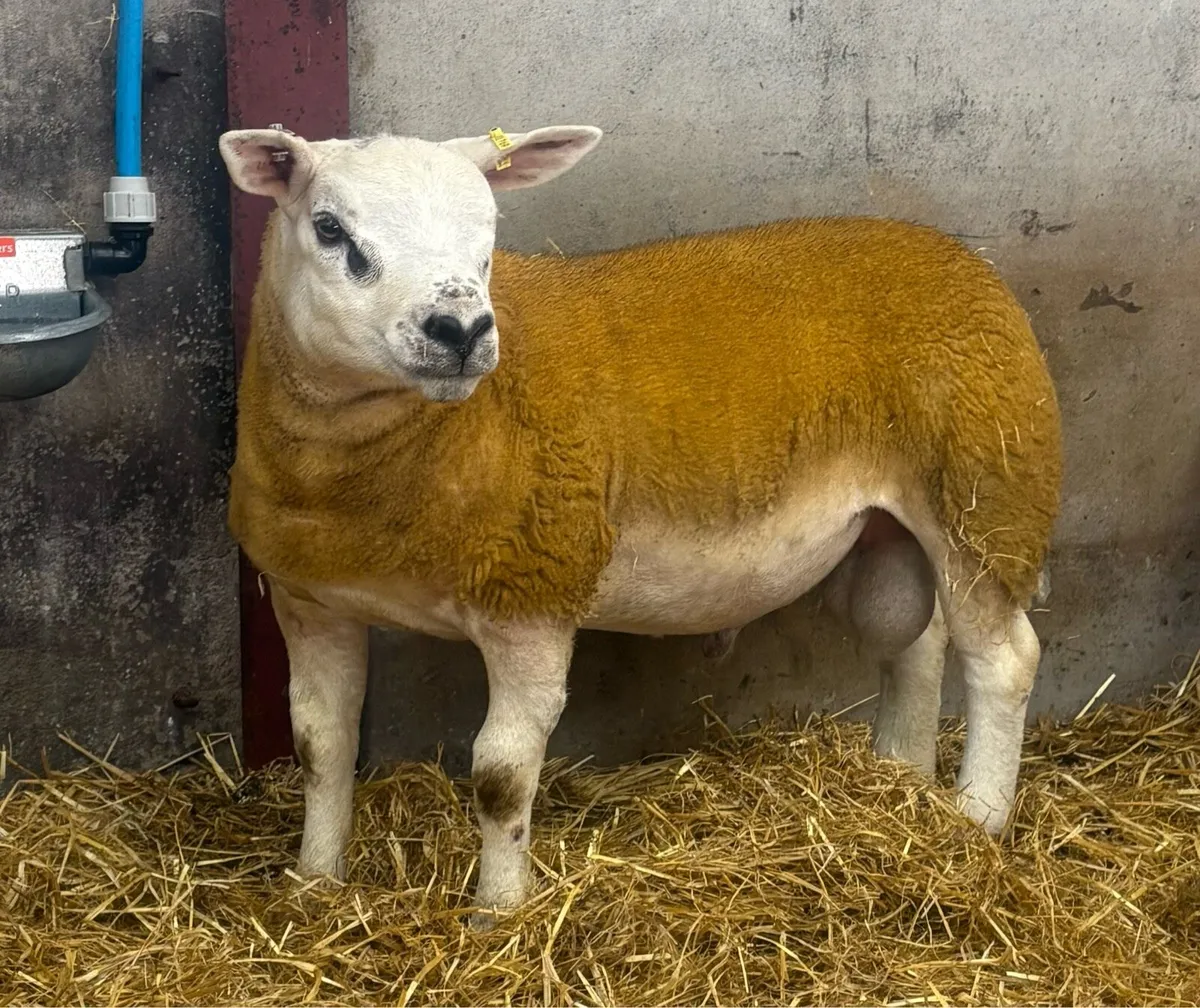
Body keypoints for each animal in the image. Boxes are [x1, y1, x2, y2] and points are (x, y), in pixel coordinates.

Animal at [218, 123, 1062, 927]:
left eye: (488, 228)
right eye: (329, 228)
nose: (460, 330)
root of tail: (955, 254)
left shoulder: (533, 596)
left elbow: (500, 776)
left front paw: (499, 914)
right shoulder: (309, 602)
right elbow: (320, 747)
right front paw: (314, 882)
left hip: (988, 493)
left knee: (1003, 660)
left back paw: (977, 818)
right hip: (899, 529)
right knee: (915, 643)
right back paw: (901, 783)